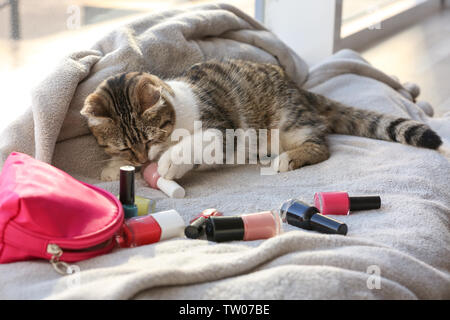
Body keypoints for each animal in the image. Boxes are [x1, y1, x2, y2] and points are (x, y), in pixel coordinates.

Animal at [81, 59, 442, 181]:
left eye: (150, 138)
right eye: (124, 147)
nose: (143, 160)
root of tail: (299, 88)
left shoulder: (221, 130)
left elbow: (199, 143)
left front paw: (171, 161)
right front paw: (115, 168)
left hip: (287, 122)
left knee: (320, 146)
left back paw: (287, 159)